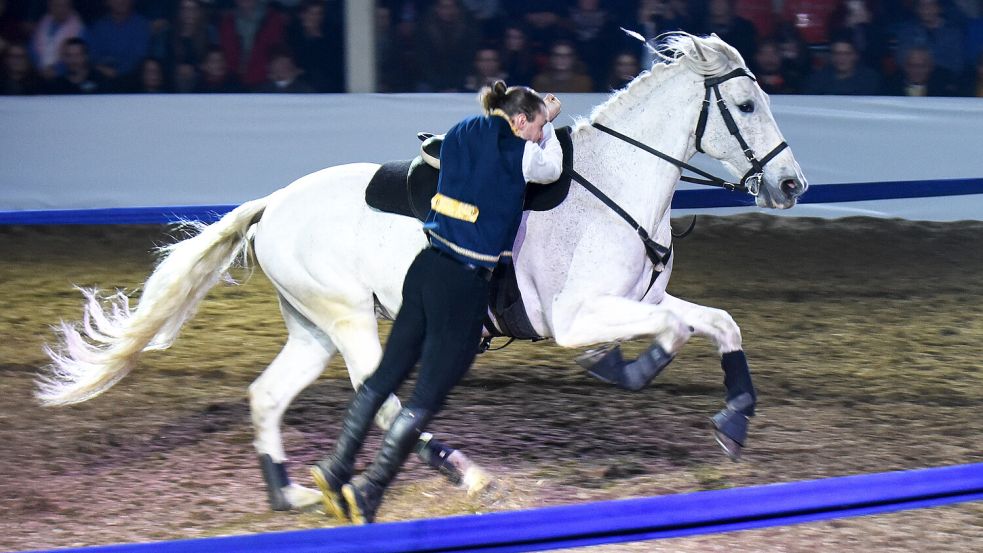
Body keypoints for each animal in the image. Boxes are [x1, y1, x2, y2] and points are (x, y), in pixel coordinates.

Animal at [36, 33, 808, 508]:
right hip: (351, 319)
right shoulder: (575, 316)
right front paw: (632, 370)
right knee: (377, 396)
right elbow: (674, 330)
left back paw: (293, 492)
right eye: (745, 104)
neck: (608, 184)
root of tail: (271, 205)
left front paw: (727, 415)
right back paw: (459, 473)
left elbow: (714, 322)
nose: (792, 184)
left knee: (268, 395)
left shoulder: (636, 299)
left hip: (311, 328)